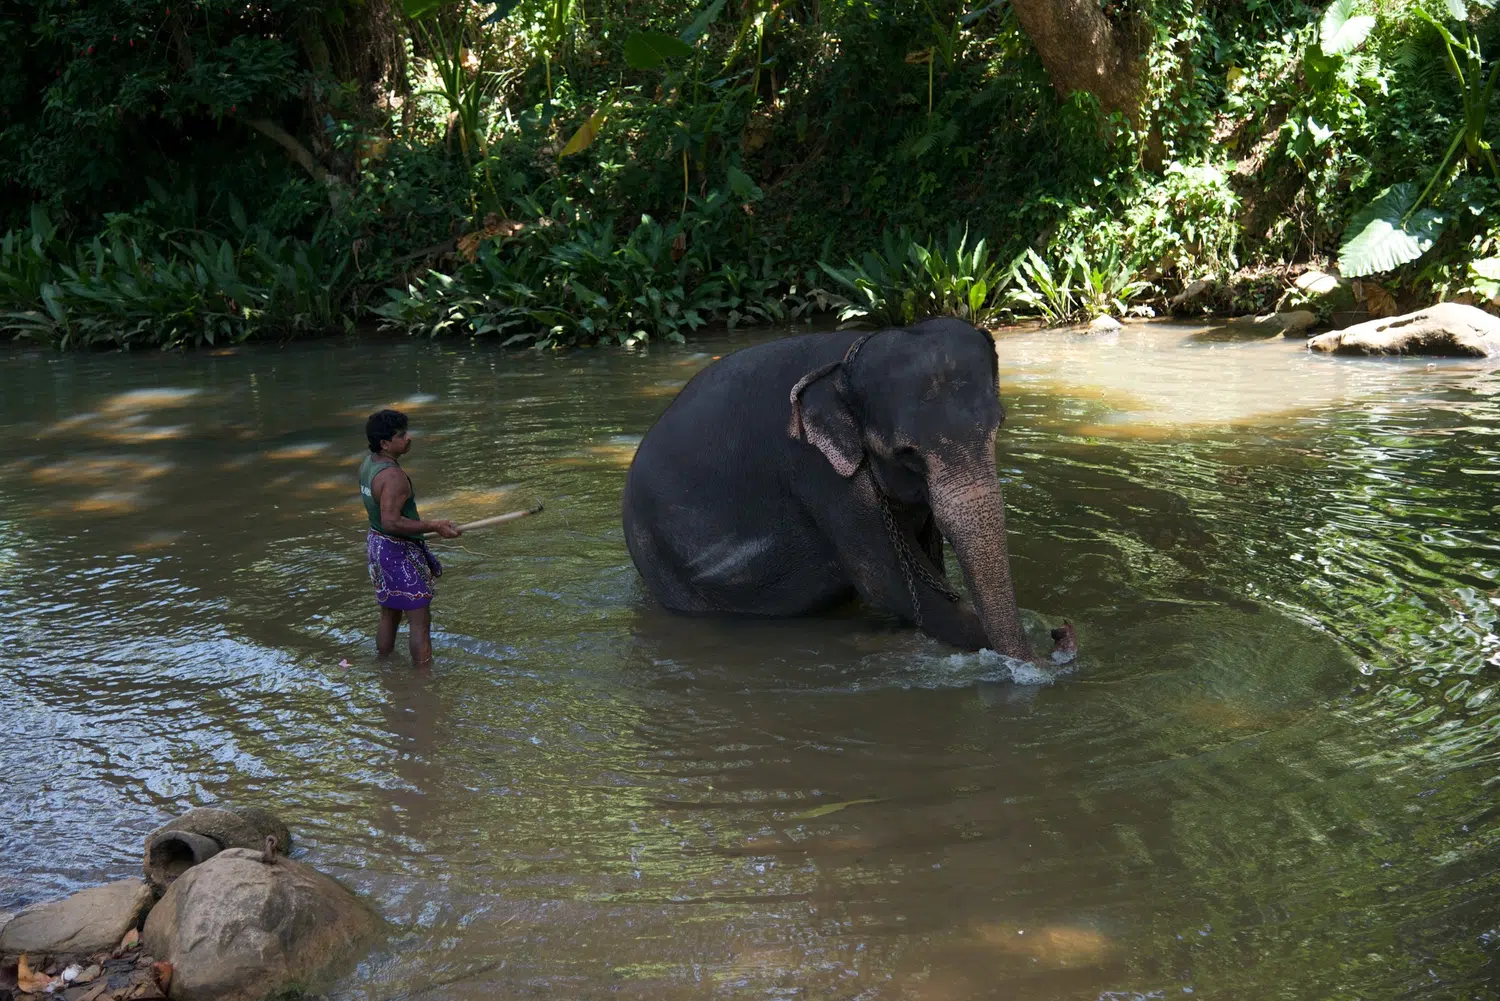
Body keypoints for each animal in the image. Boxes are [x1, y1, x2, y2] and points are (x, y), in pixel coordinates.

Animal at [622, 316, 1071, 663]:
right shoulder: (816, 470)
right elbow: (890, 582)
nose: (1060, 633)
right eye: (906, 453)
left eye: (999, 424)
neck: (844, 364)